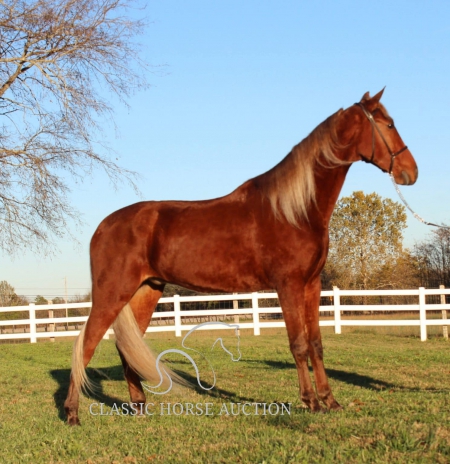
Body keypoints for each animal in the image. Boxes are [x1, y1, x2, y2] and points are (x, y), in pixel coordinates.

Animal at [64, 89, 418, 425]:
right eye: (388, 124)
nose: (410, 172)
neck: (294, 209)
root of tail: (103, 226)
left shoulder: (312, 285)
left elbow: (316, 344)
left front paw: (330, 401)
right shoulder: (288, 285)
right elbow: (298, 343)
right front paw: (311, 402)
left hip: (146, 291)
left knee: (126, 348)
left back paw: (139, 407)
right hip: (112, 293)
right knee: (85, 344)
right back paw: (72, 414)